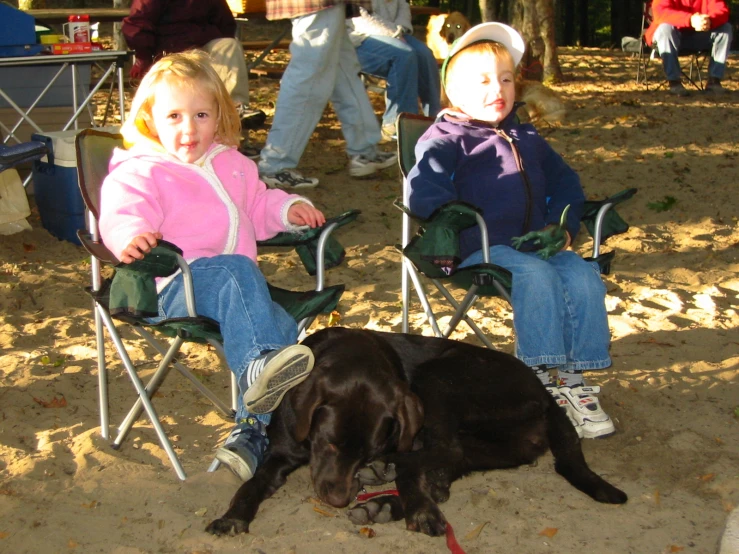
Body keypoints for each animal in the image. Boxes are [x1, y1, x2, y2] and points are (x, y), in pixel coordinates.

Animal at [205, 328, 628, 536]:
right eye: (328, 443)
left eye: (366, 450)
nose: (339, 500)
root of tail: (543, 391)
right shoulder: (280, 453)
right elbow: (251, 485)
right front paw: (232, 518)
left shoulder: (404, 431)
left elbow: (410, 469)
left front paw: (417, 507)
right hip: (493, 440)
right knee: (448, 466)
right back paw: (387, 500)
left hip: (439, 378)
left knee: (441, 452)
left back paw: (390, 488)